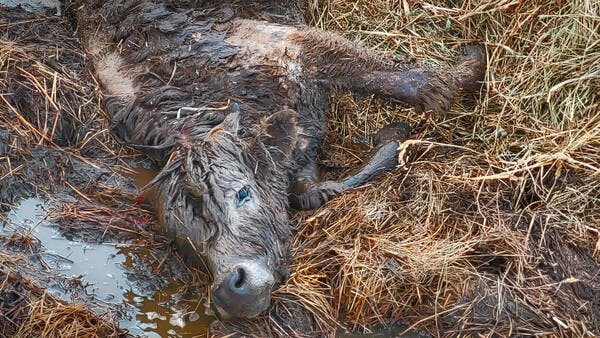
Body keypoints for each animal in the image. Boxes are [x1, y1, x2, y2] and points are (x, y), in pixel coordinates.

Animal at [68, 0, 486, 320]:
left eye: (242, 194)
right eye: (183, 239)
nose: (233, 290)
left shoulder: (290, 43)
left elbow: (417, 83)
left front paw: (472, 64)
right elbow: (311, 191)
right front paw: (392, 138)